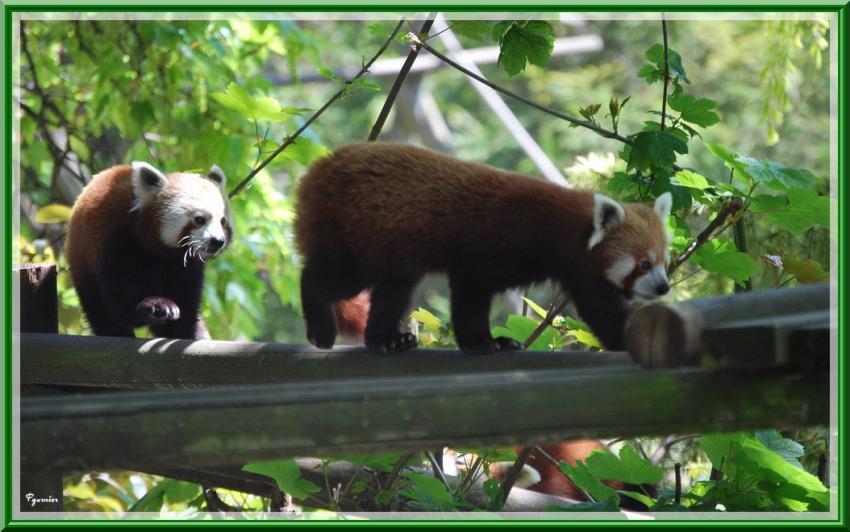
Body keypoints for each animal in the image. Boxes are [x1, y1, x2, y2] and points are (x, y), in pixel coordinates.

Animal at [66, 160, 232, 338]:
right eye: (199, 219)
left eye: (222, 221)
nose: (218, 241)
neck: (161, 251)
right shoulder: (118, 240)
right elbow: (121, 301)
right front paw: (153, 306)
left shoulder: (186, 266)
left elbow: (186, 303)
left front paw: (186, 332)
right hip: (84, 262)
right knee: (99, 309)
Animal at [294, 143, 672, 356]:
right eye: (643, 264)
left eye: (663, 262)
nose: (664, 287)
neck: (561, 230)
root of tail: (319, 167)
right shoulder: (492, 247)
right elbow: (470, 297)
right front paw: (482, 343)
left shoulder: (581, 273)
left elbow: (603, 311)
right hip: (355, 234)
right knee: (329, 278)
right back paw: (321, 325)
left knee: (394, 290)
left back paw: (386, 339)